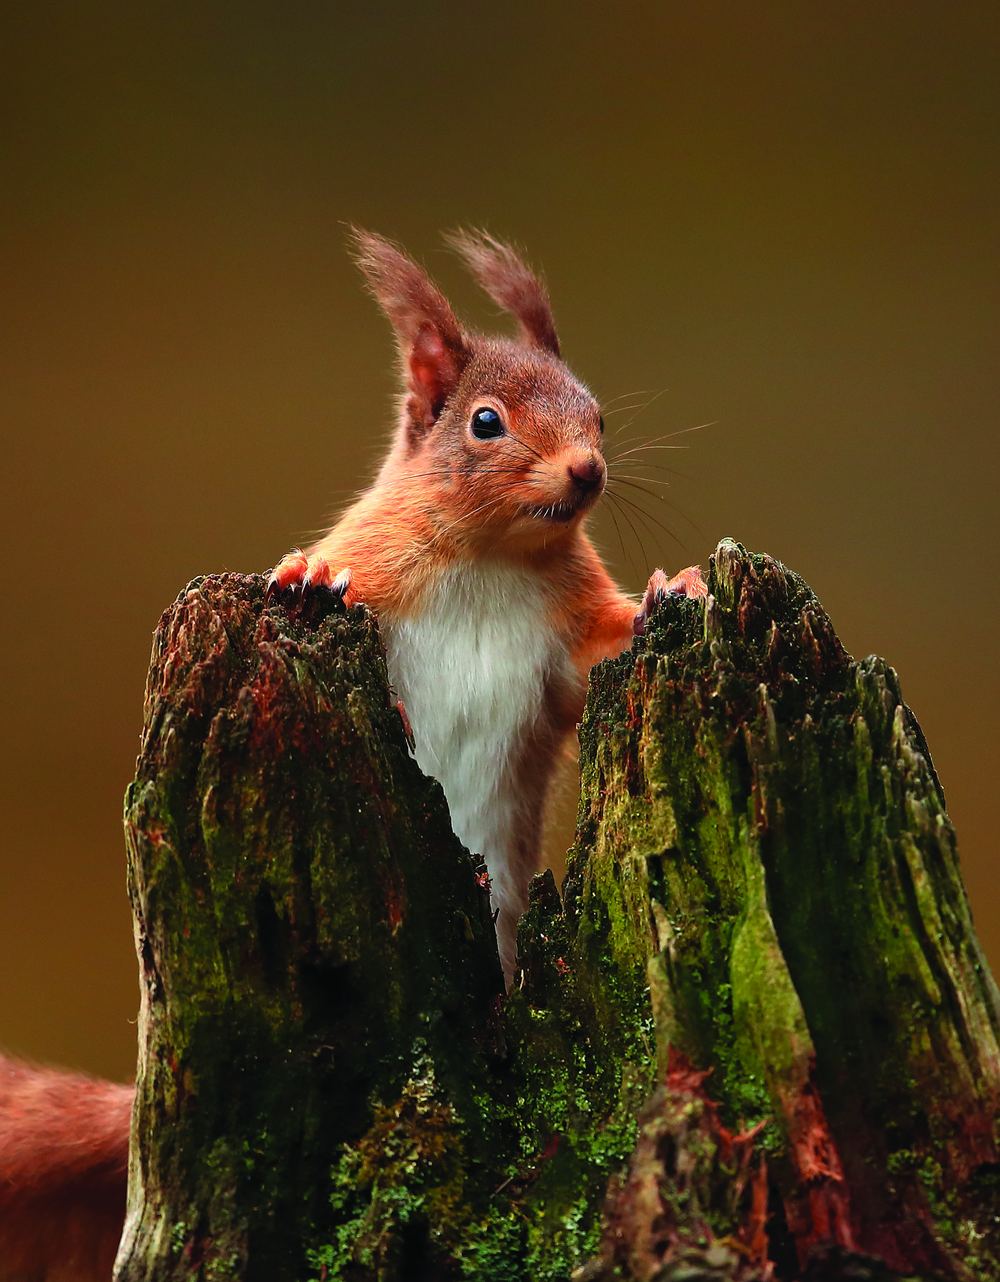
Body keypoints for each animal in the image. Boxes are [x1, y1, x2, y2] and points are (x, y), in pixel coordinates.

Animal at [0, 229, 705, 1281]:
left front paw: (677, 584)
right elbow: (342, 578)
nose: (586, 471)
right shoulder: (383, 564)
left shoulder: (569, 630)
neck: (490, 558)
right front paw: (307, 572)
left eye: (601, 416)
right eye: (485, 423)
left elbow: (603, 653)